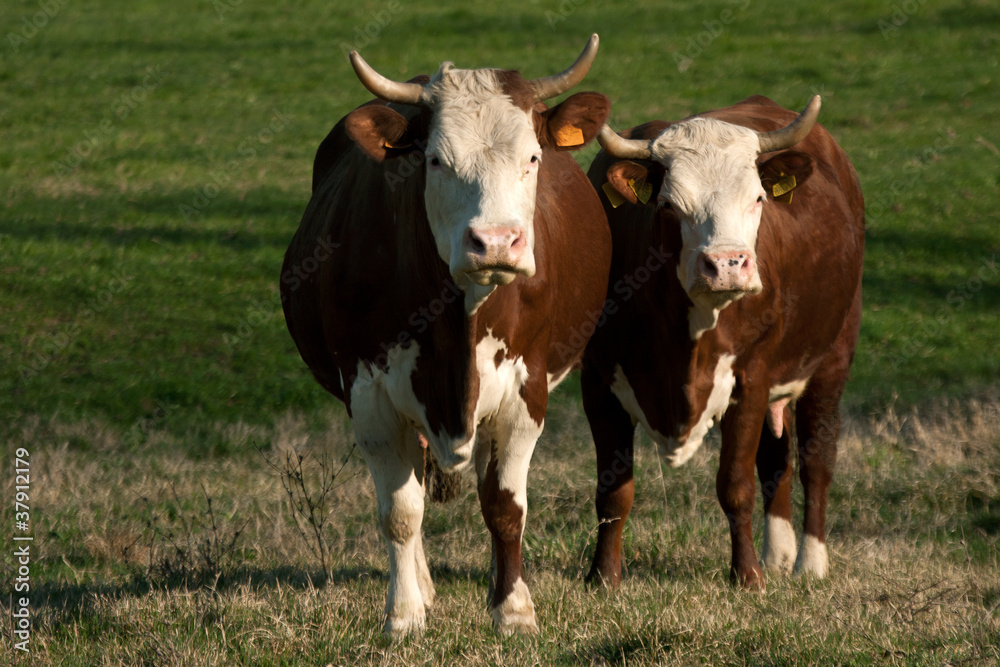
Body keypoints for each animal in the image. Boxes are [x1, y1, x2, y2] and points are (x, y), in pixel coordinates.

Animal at [278, 35, 612, 636]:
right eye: (435, 160)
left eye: (533, 157)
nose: (496, 242)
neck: (461, 317)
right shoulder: (370, 396)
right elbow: (401, 512)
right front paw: (404, 616)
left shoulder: (525, 390)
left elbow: (504, 506)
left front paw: (513, 608)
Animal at [584, 95, 864, 588]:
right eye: (669, 205)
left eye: (757, 199)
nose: (728, 264)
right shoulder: (597, 381)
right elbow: (613, 492)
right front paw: (603, 578)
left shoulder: (749, 379)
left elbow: (735, 484)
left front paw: (746, 576)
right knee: (776, 459)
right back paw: (778, 554)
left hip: (832, 357)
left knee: (817, 459)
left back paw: (810, 562)